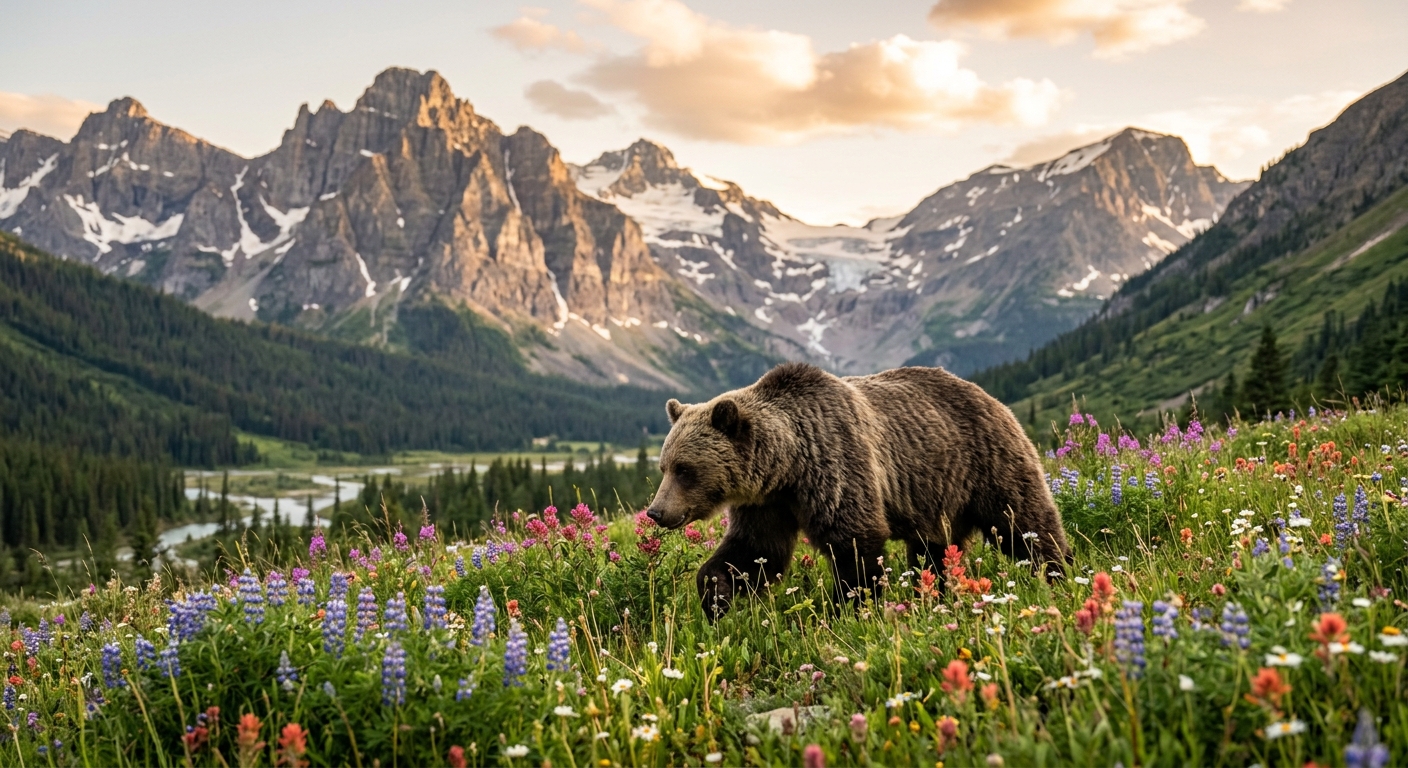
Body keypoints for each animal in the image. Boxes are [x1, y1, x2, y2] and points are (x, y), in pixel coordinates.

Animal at [644, 362, 1070, 619]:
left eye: (685, 470)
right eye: (664, 466)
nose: (656, 512)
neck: (789, 465)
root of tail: (990, 396)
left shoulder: (836, 464)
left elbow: (854, 542)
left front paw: (847, 608)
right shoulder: (768, 503)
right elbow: (754, 551)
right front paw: (716, 594)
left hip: (986, 462)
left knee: (1024, 521)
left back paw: (1059, 571)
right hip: (938, 499)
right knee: (932, 551)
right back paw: (933, 591)